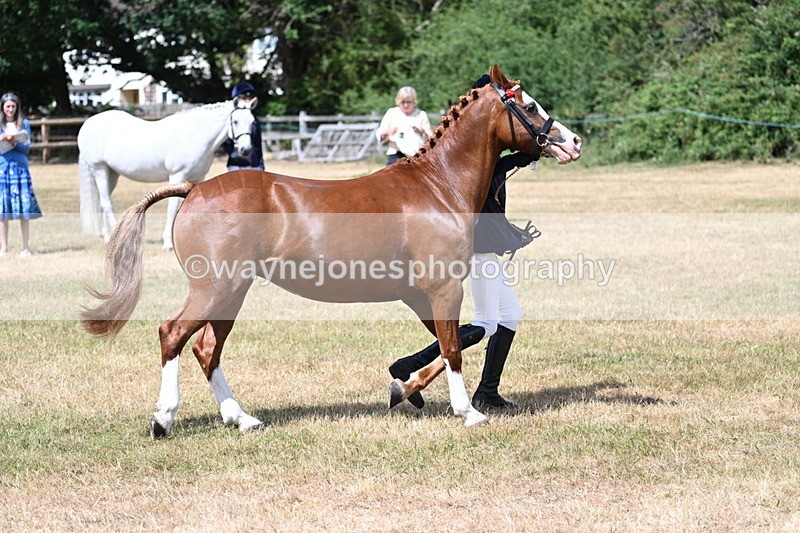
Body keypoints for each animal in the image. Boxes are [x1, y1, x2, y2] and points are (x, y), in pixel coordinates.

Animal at [77, 98, 258, 250]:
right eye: (235, 121)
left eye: (251, 122)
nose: (246, 150)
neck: (193, 135)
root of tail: (87, 124)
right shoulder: (177, 175)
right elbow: (172, 207)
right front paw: (168, 242)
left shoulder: (199, 177)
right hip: (99, 169)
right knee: (107, 203)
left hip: (111, 173)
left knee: (102, 201)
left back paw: (106, 235)